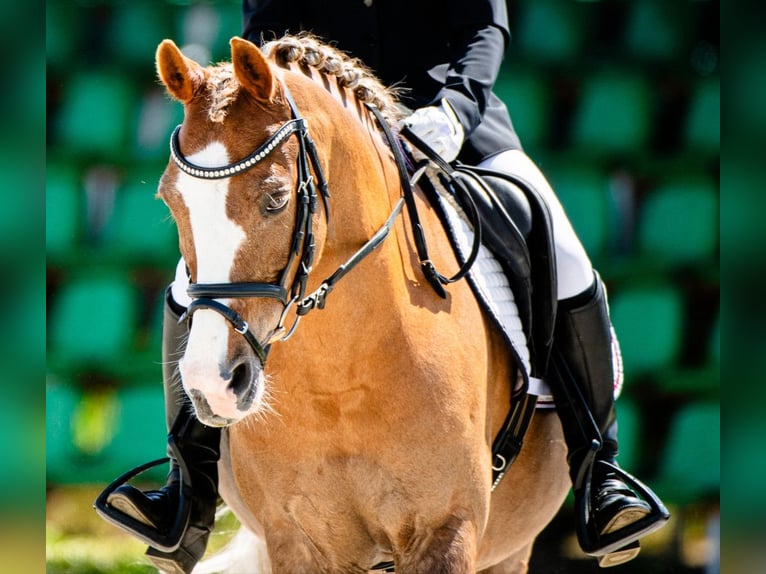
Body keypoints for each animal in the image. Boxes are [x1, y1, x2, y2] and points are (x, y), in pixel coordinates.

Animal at [154, 34, 570, 573]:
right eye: (170, 202)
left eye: (276, 198)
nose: (214, 385)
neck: (342, 375)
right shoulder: (297, 539)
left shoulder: (446, 530)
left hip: (510, 550)